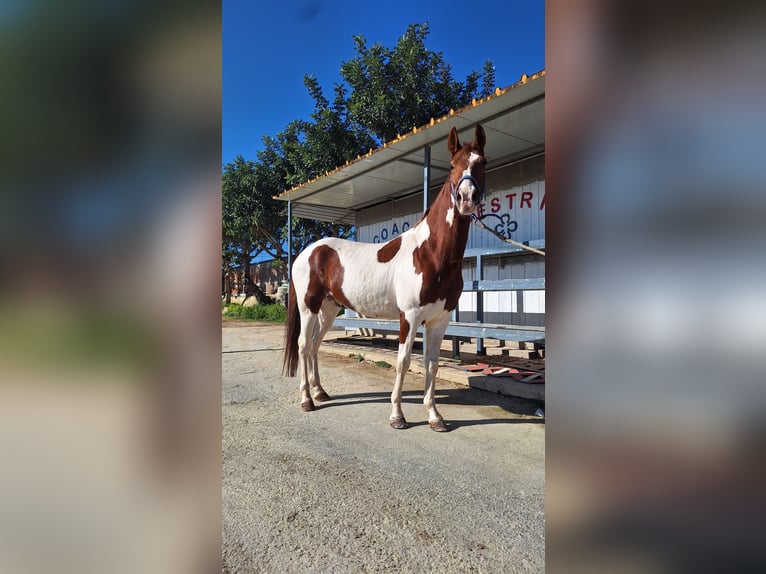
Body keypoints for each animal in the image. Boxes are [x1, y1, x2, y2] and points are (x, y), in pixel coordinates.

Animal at [283, 124, 487, 431]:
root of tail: (307, 251)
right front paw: (397, 416)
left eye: (482, 163)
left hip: (328, 309)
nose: (466, 199)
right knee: (304, 345)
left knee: (315, 346)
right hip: (308, 307)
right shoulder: (409, 317)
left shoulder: (439, 320)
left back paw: (320, 392)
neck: (430, 253)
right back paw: (307, 399)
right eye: (452, 165)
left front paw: (435, 416)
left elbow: (432, 364)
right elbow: (403, 362)